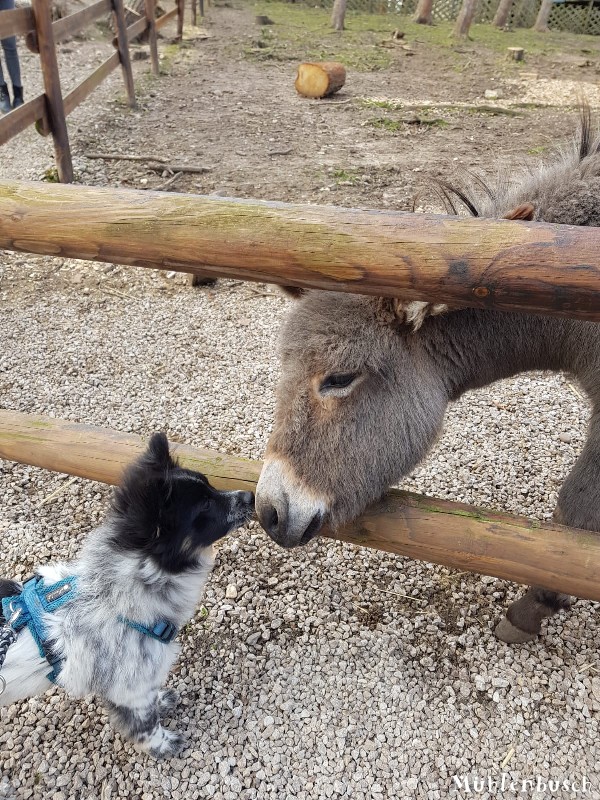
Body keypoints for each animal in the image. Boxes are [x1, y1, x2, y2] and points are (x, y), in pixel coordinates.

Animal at [0, 434, 254, 760]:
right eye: (206, 504)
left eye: (210, 486)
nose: (251, 496)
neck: (116, 597)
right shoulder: (130, 690)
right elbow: (146, 726)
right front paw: (164, 745)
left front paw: (162, 701)